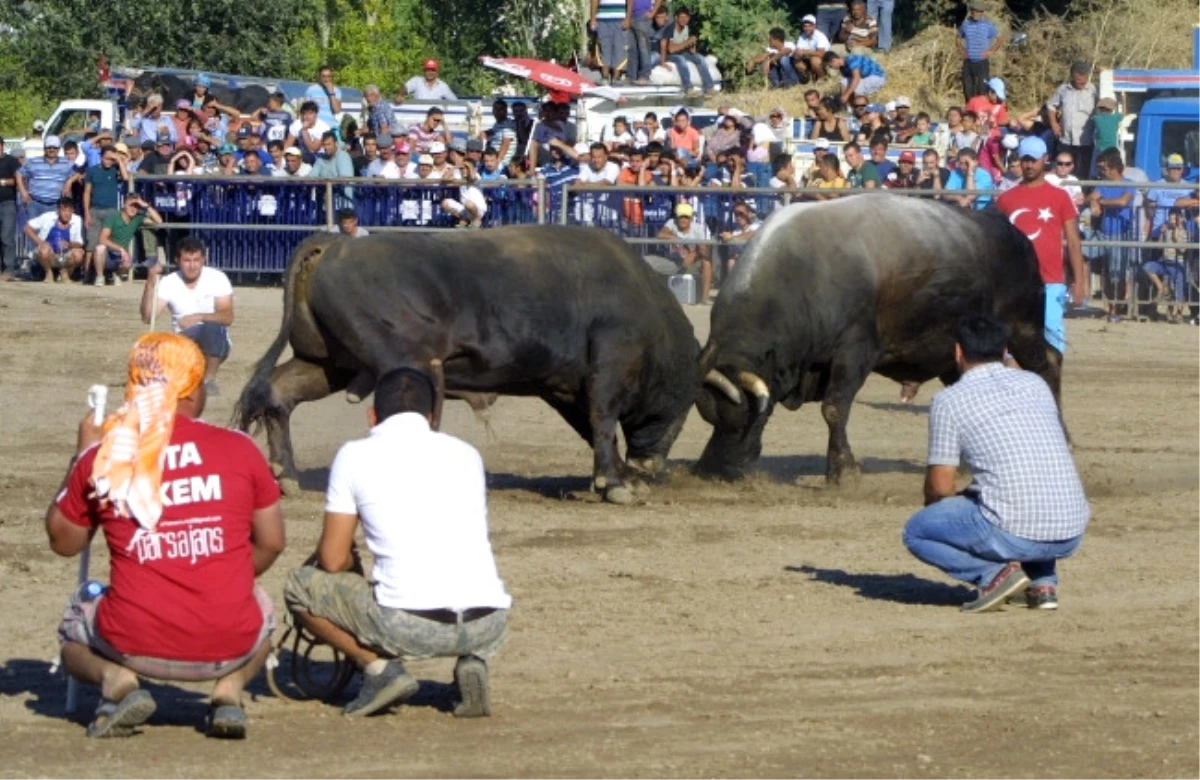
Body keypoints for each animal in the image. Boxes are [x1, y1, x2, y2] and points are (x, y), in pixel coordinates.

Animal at [230, 228, 700, 501]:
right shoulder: (608, 368)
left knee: (278, 395)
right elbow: (602, 422)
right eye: (686, 405)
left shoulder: (565, 385)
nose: (653, 466)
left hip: (327, 364)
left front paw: (616, 476)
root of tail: (335, 243)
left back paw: (286, 475)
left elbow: (590, 427)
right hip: (412, 364)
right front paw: (616, 484)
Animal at [696, 194, 1060, 480]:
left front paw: (842, 470)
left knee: (1048, 365)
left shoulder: (854, 353)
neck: (804, 274)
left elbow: (834, 408)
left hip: (1022, 328)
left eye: (742, 419)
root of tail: (1016, 236)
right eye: (709, 417)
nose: (714, 468)